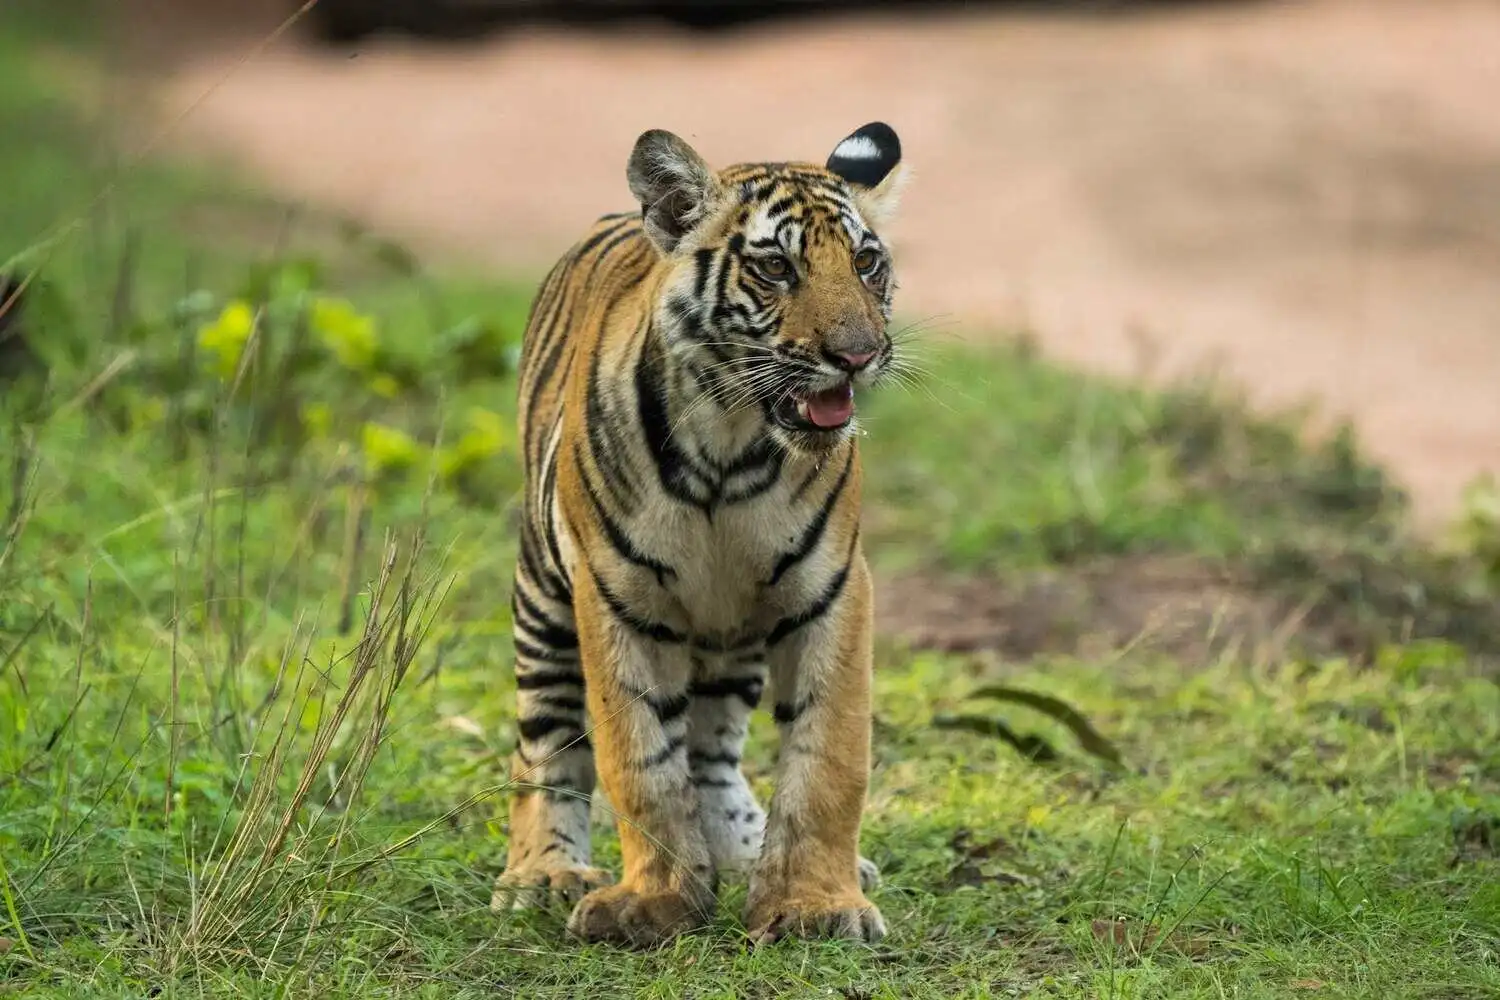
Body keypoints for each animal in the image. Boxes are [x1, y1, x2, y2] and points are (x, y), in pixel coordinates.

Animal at [498, 122, 906, 947]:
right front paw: (655, 902)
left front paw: (816, 904)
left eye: (867, 263)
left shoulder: (831, 590)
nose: (858, 355)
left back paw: (746, 853)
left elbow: (828, 757)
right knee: (547, 745)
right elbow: (639, 760)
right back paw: (542, 874)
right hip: (543, 600)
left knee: (713, 751)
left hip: (733, 634)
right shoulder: (615, 597)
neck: (732, 442)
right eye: (776, 267)